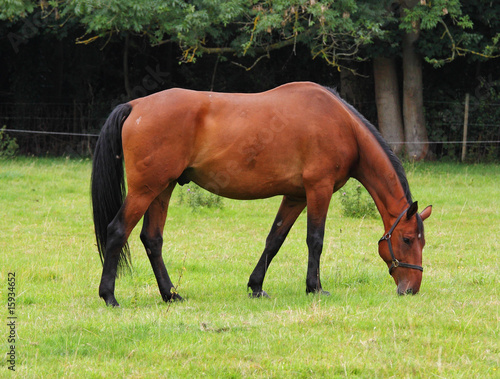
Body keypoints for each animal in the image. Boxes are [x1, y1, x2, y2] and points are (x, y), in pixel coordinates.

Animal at [92, 81, 432, 308]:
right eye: (406, 240)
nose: (412, 288)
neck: (342, 124)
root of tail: (136, 106)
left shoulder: (296, 196)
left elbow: (275, 240)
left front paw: (256, 287)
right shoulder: (318, 189)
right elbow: (315, 240)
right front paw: (315, 287)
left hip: (162, 188)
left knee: (152, 239)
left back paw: (171, 295)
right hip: (146, 189)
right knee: (118, 231)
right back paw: (109, 296)